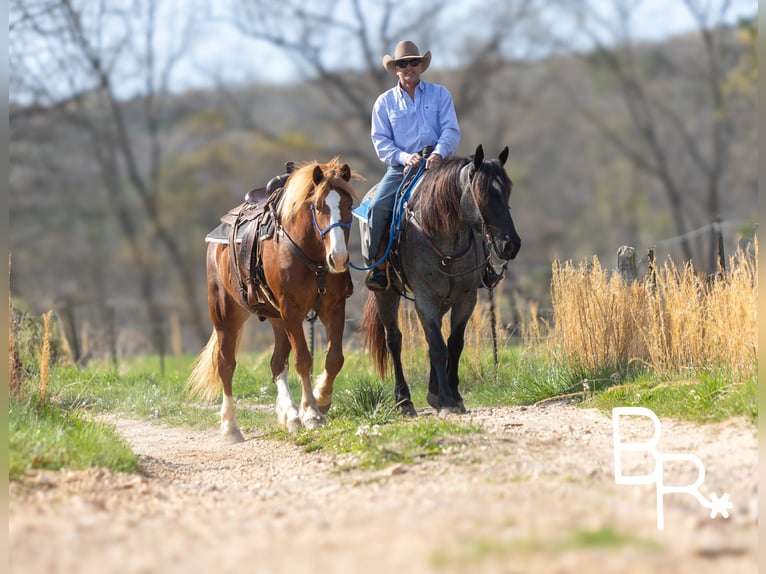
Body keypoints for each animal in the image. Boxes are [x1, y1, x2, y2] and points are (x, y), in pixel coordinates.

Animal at [187, 158, 360, 442]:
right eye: (318, 206)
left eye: (349, 206)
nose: (338, 258)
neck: (311, 256)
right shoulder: (292, 311)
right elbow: (303, 360)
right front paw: (312, 413)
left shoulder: (333, 307)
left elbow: (334, 358)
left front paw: (321, 399)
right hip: (226, 314)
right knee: (226, 364)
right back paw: (231, 427)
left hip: (278, 320)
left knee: (277, 363)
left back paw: (290, 415)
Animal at [361, 145, 520, 416]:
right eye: (483, 195)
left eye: (508, 191)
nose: (511, 244)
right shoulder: (425, 299)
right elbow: (437, 346)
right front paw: (445, 400)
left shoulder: (466, 298)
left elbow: (453, 344)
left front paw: (452, 396)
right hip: (386, 292)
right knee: (394, 339)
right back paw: (404, 400)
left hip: (444, 300)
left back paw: (432, 391)